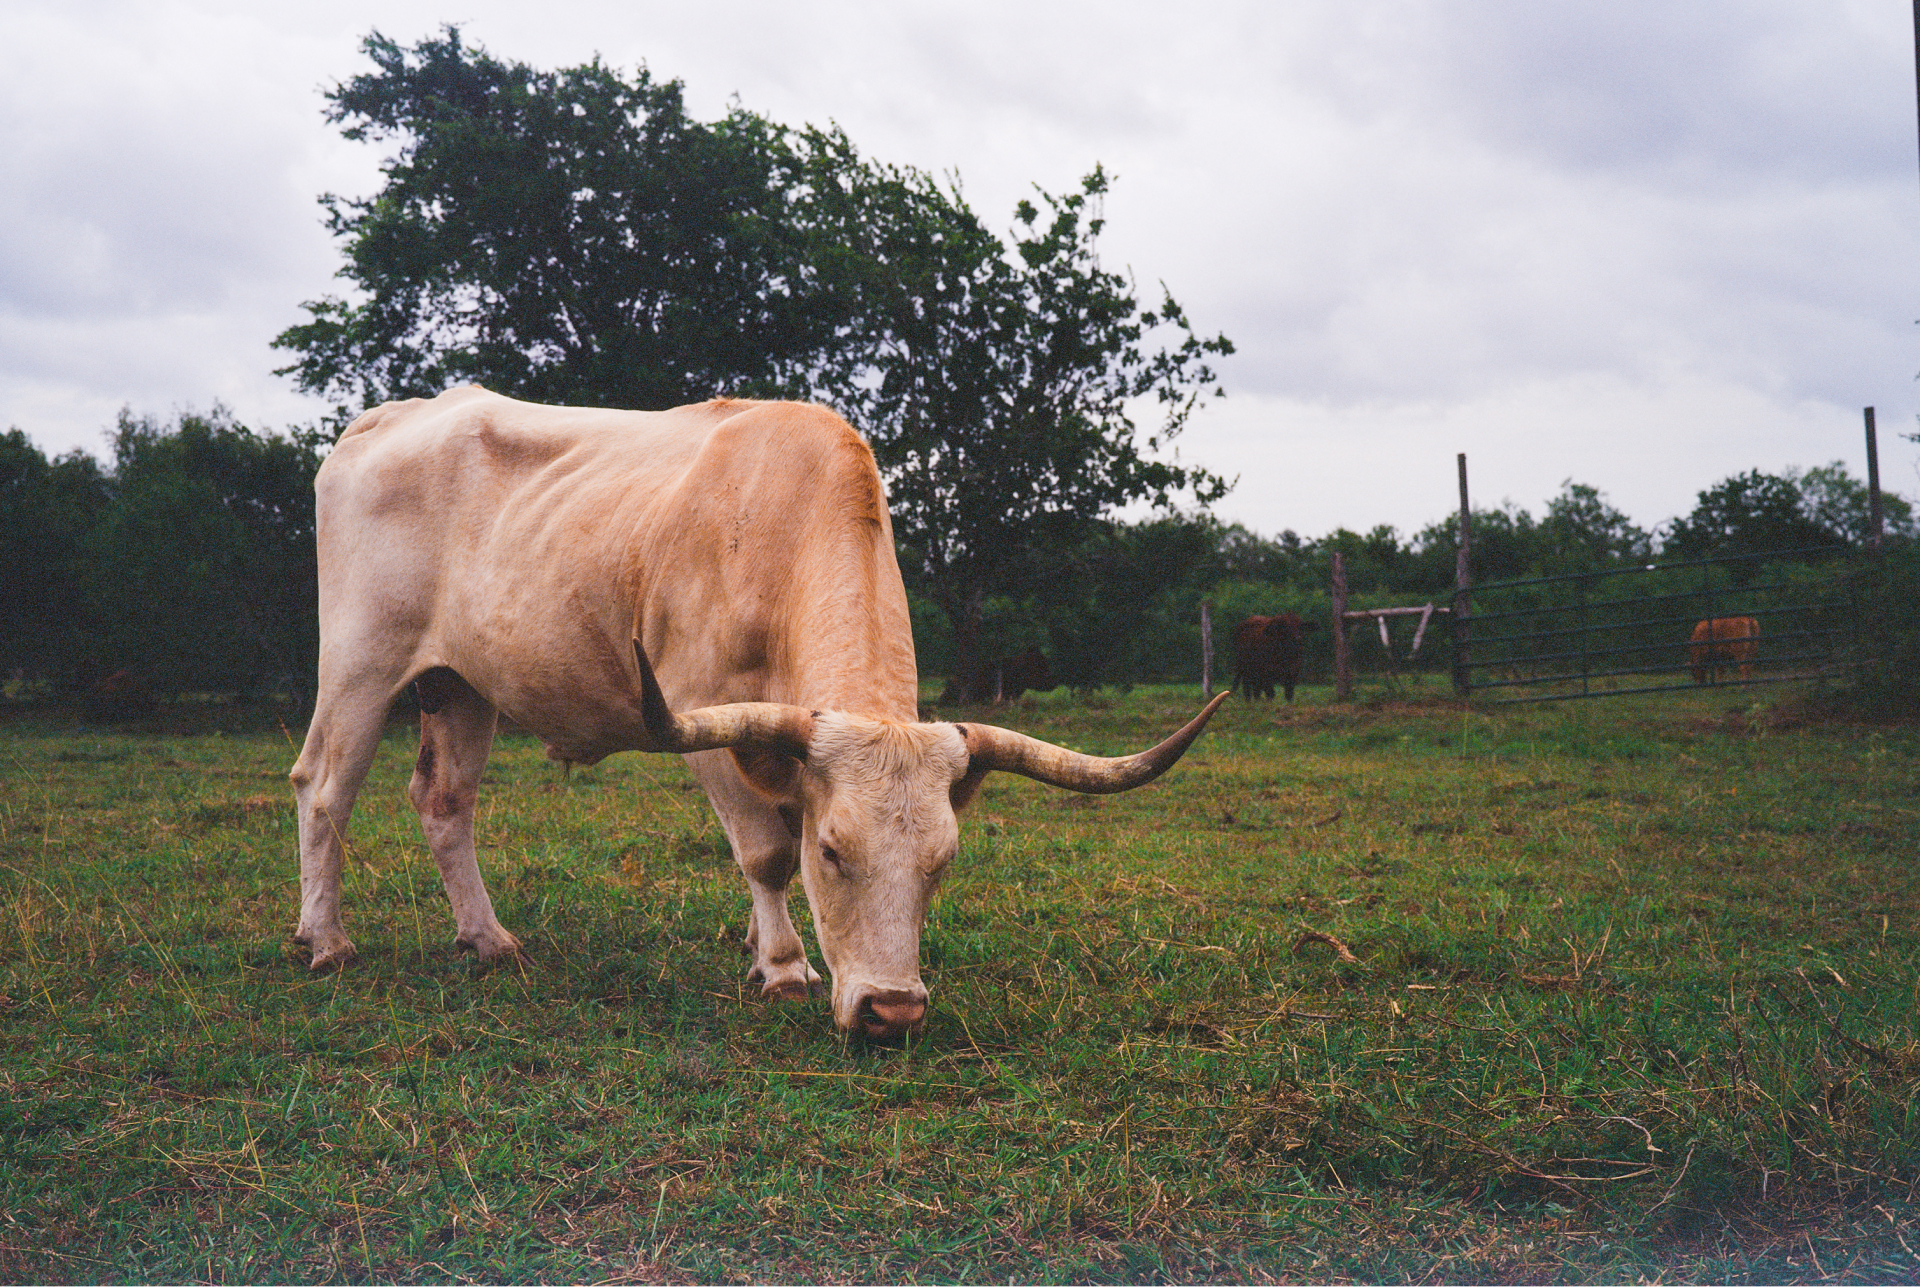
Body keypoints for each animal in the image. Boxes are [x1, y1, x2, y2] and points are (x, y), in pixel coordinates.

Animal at [291, 388, 1221, 1044]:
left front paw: (755, 942)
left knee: (445, 803)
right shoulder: (701, 715)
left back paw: (487, 939)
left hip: (460, 684)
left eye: (944, 860)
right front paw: (781, 964)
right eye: (834, 851)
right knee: (323, 787)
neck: (777, 526)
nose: (893, 1012)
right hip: (360, 660)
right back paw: (324, 940)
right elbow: (764, 851)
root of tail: (390, 417)